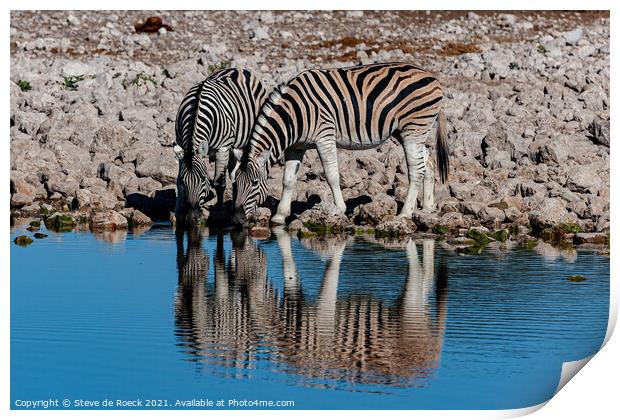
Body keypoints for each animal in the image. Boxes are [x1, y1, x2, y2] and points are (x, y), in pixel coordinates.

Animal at [176, 67, 270, 225]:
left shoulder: (222, 148)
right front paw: (179, 208)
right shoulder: (179, 143)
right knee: (234, 174)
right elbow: (177, 181)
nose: (193, 218)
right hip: (233, 148)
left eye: (203, 178)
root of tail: (238, 68)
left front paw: (220, 210)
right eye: (184, 181)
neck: (197, 108)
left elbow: (219, 183)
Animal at [232, 61, 450, 226]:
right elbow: (288, 180)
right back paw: (427, 207)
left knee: (416, 170)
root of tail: (432, 76)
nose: (237, 219)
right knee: (428, 163)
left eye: (254, 183)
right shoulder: (296, 147)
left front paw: (338, 208)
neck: (292, 115)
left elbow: (332, 175)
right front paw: (280, 215)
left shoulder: (324, 136)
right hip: (406, 132)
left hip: (413, 129)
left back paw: (404, 213)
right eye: (234, 184)